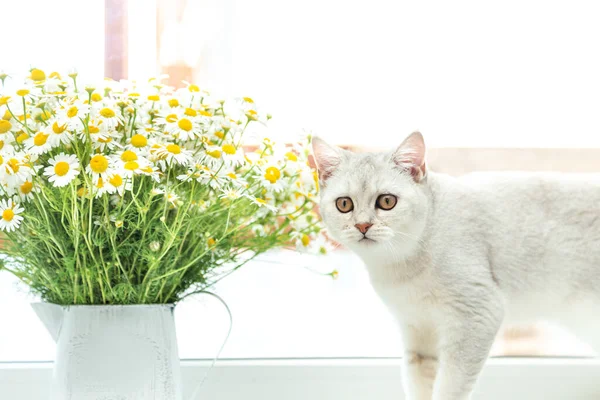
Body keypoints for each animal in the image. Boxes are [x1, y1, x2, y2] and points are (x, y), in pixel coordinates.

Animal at [312, 132, 600, 400]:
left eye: (386, 201)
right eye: (344, 204)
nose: (362, 225)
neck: (401, 267)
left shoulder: (476, 314)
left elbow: (450, 387)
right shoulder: (418, 333)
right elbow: (419, 385)